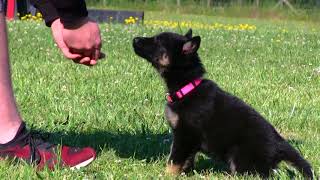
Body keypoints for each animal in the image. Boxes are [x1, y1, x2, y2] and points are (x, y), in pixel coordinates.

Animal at [132, 29, 312, 179]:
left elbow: (174, 159)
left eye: (157, 41)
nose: (134, 39)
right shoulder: (189, 140)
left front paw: (166, 175)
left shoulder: (185, 135)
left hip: (240, 156)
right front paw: (184, 174)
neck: (187, 88)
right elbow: (186, 160)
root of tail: (279, 143)